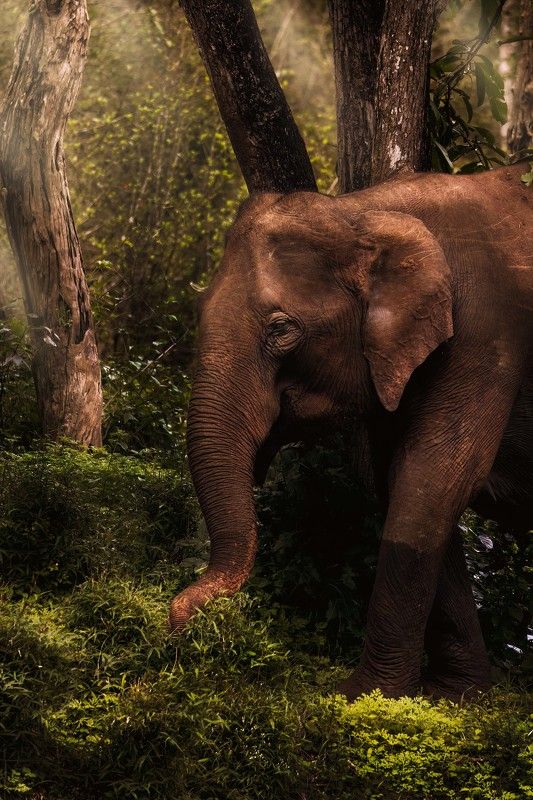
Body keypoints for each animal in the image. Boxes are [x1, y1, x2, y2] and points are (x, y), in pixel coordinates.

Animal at [170, 160, 532, 700]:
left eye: (281, 329)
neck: (362, 212)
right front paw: (455, 695)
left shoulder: (488, 334)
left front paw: (360, 697)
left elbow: (436, 477)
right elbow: (397, 480)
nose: (176, 619)